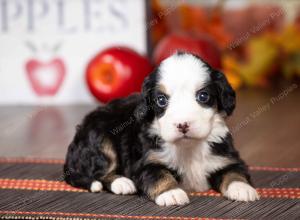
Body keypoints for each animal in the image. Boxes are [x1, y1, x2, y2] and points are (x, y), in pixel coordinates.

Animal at [63, 52, 260, 206]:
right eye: (161, 100)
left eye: (203, 96)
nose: (183, 124)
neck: (188, 147)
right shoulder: (146, 162)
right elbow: (160, 175)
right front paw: (171, 193)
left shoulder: (226, 158)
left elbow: (235, 172)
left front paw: (242, 188)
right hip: (101, 138)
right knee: (101, 172)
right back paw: (122, 183)